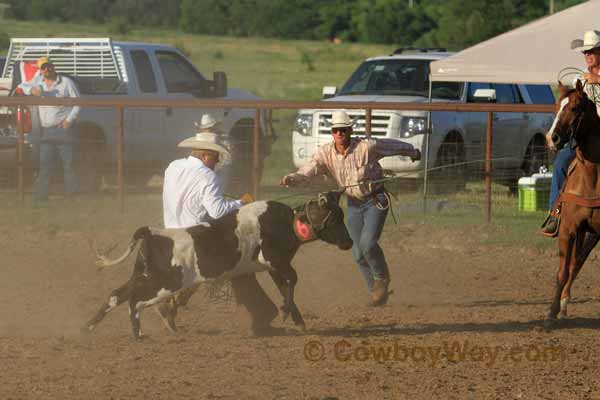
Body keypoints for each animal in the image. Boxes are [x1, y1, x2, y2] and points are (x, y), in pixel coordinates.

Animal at [84, 191, 352, 338]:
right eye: (335, 218)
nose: (349, 242)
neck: (287, 222)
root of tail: (151, 232)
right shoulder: (273, 259)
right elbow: (293, 278)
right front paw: (287, 314)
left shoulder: (276, 266)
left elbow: (286, 286)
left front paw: (295, 318)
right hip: (163, 283)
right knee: (134, 302)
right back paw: (138, 334)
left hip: (143, 276)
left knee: (116, 295)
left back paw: (89, 327)